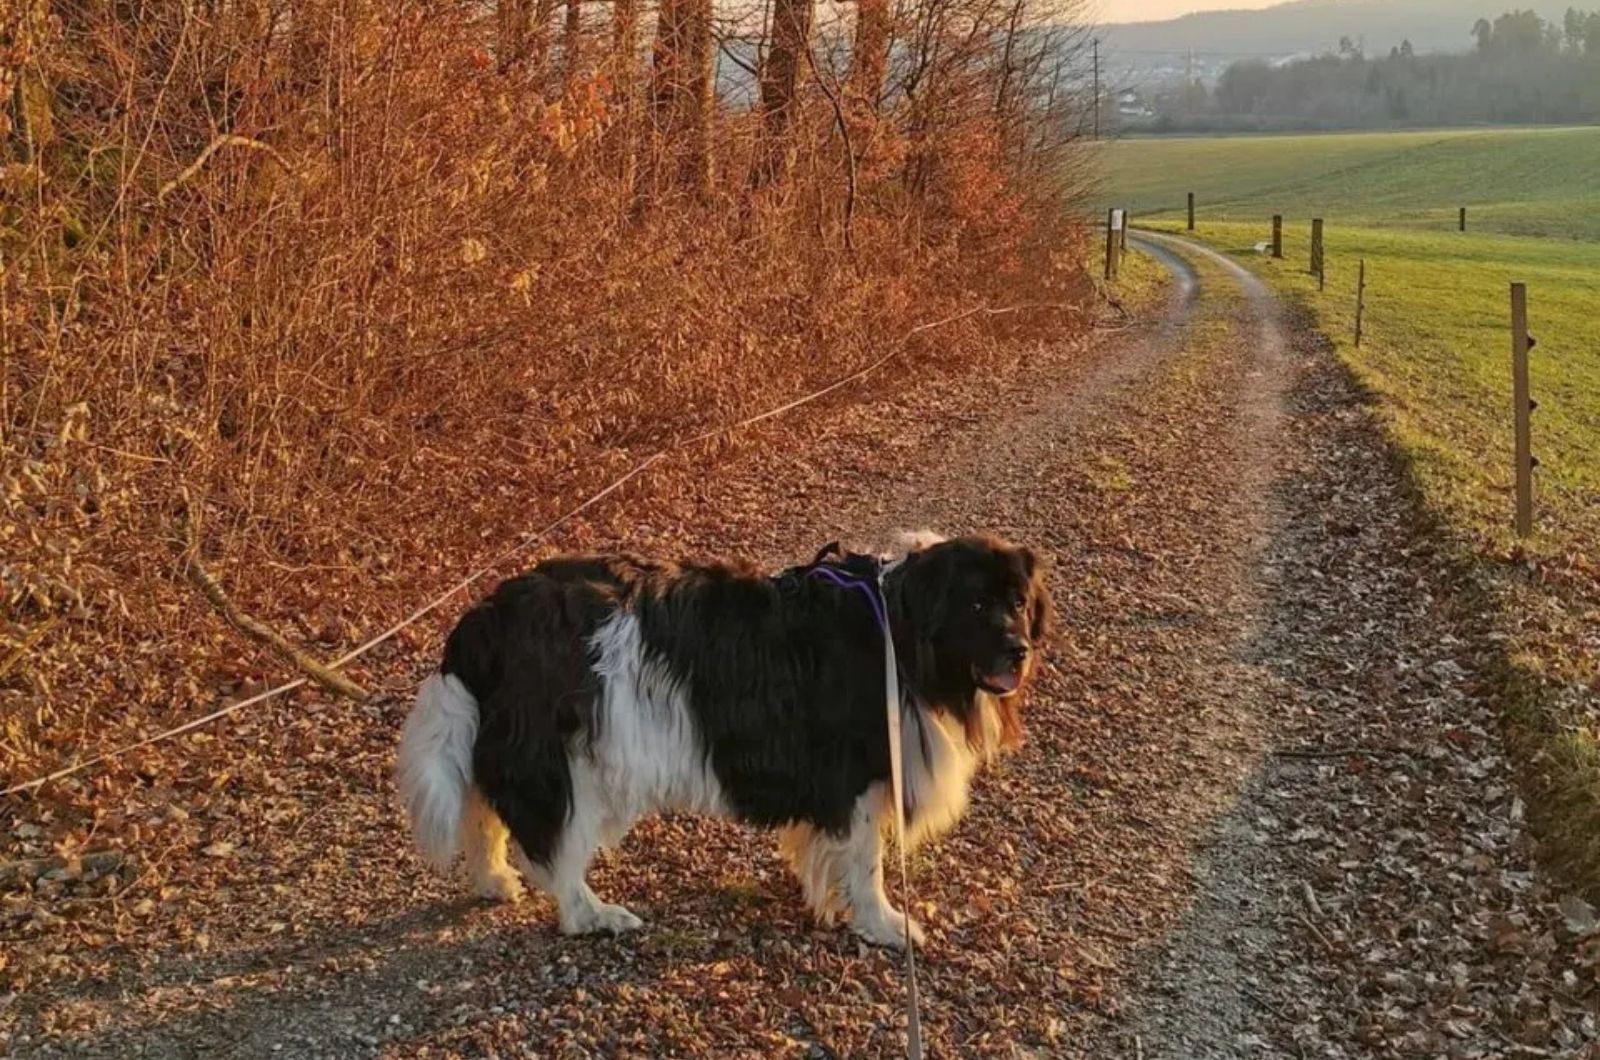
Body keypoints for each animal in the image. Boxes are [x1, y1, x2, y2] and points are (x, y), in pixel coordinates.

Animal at [396, 534, 1049, 947]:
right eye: (977, 604)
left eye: (1019, 603)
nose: (1019, 650)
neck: (898, 627)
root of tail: (486, 614)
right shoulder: (856, 777)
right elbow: (866, 863)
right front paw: (884, 925)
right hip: (568, 760)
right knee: (551, 844)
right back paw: (592, 914)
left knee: (483, 811)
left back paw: (492, 881)